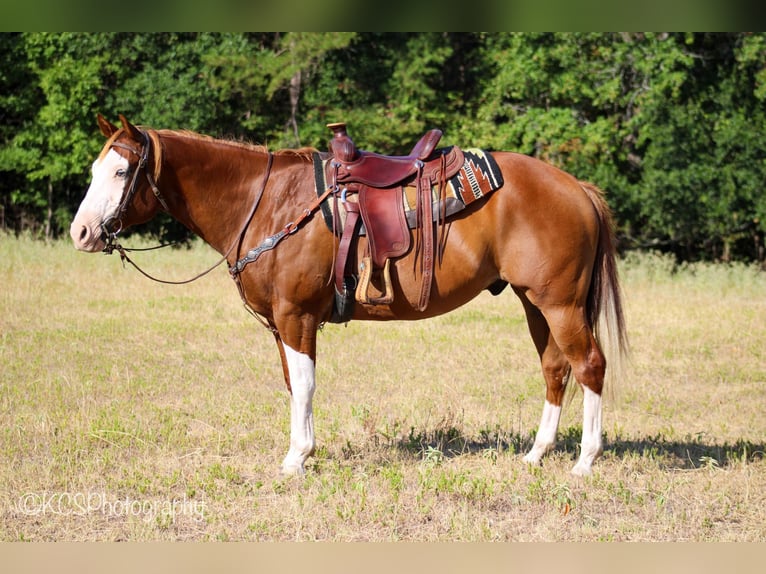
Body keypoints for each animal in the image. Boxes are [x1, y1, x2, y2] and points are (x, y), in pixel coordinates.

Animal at [69, 115, 628, 480]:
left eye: (121, 172)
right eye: (95, 171)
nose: (81, 233)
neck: (267, 202)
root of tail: (576, 186)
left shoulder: (295, 317)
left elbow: (306, 385)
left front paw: (297, 458)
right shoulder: (280, 324)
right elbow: (294, 386)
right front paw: (304, 452)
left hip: (560, 304)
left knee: (589, 366)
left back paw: (585, 460)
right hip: (536, 303)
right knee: (555, 368)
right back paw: (537, 454)